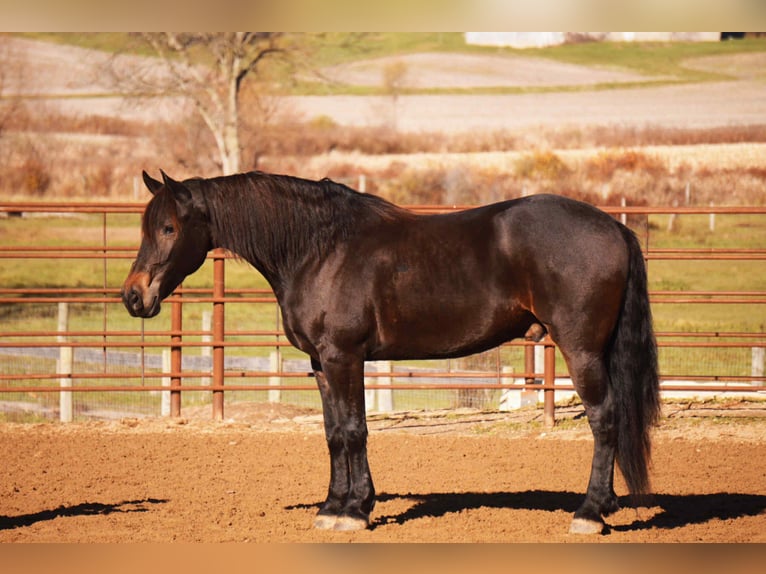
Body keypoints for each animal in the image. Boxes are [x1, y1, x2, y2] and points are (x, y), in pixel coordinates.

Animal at [121, 169, 660, 535]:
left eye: (169, 228)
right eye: (148, 228)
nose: (133, 297)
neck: (320, 249)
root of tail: (614, 227)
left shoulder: (343, 356)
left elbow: (354, 431)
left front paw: (354, 511)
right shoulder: (321, 364)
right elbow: (334, 434)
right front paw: (335, 506)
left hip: (581, 349)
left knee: (604, 419)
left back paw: (589, 513)